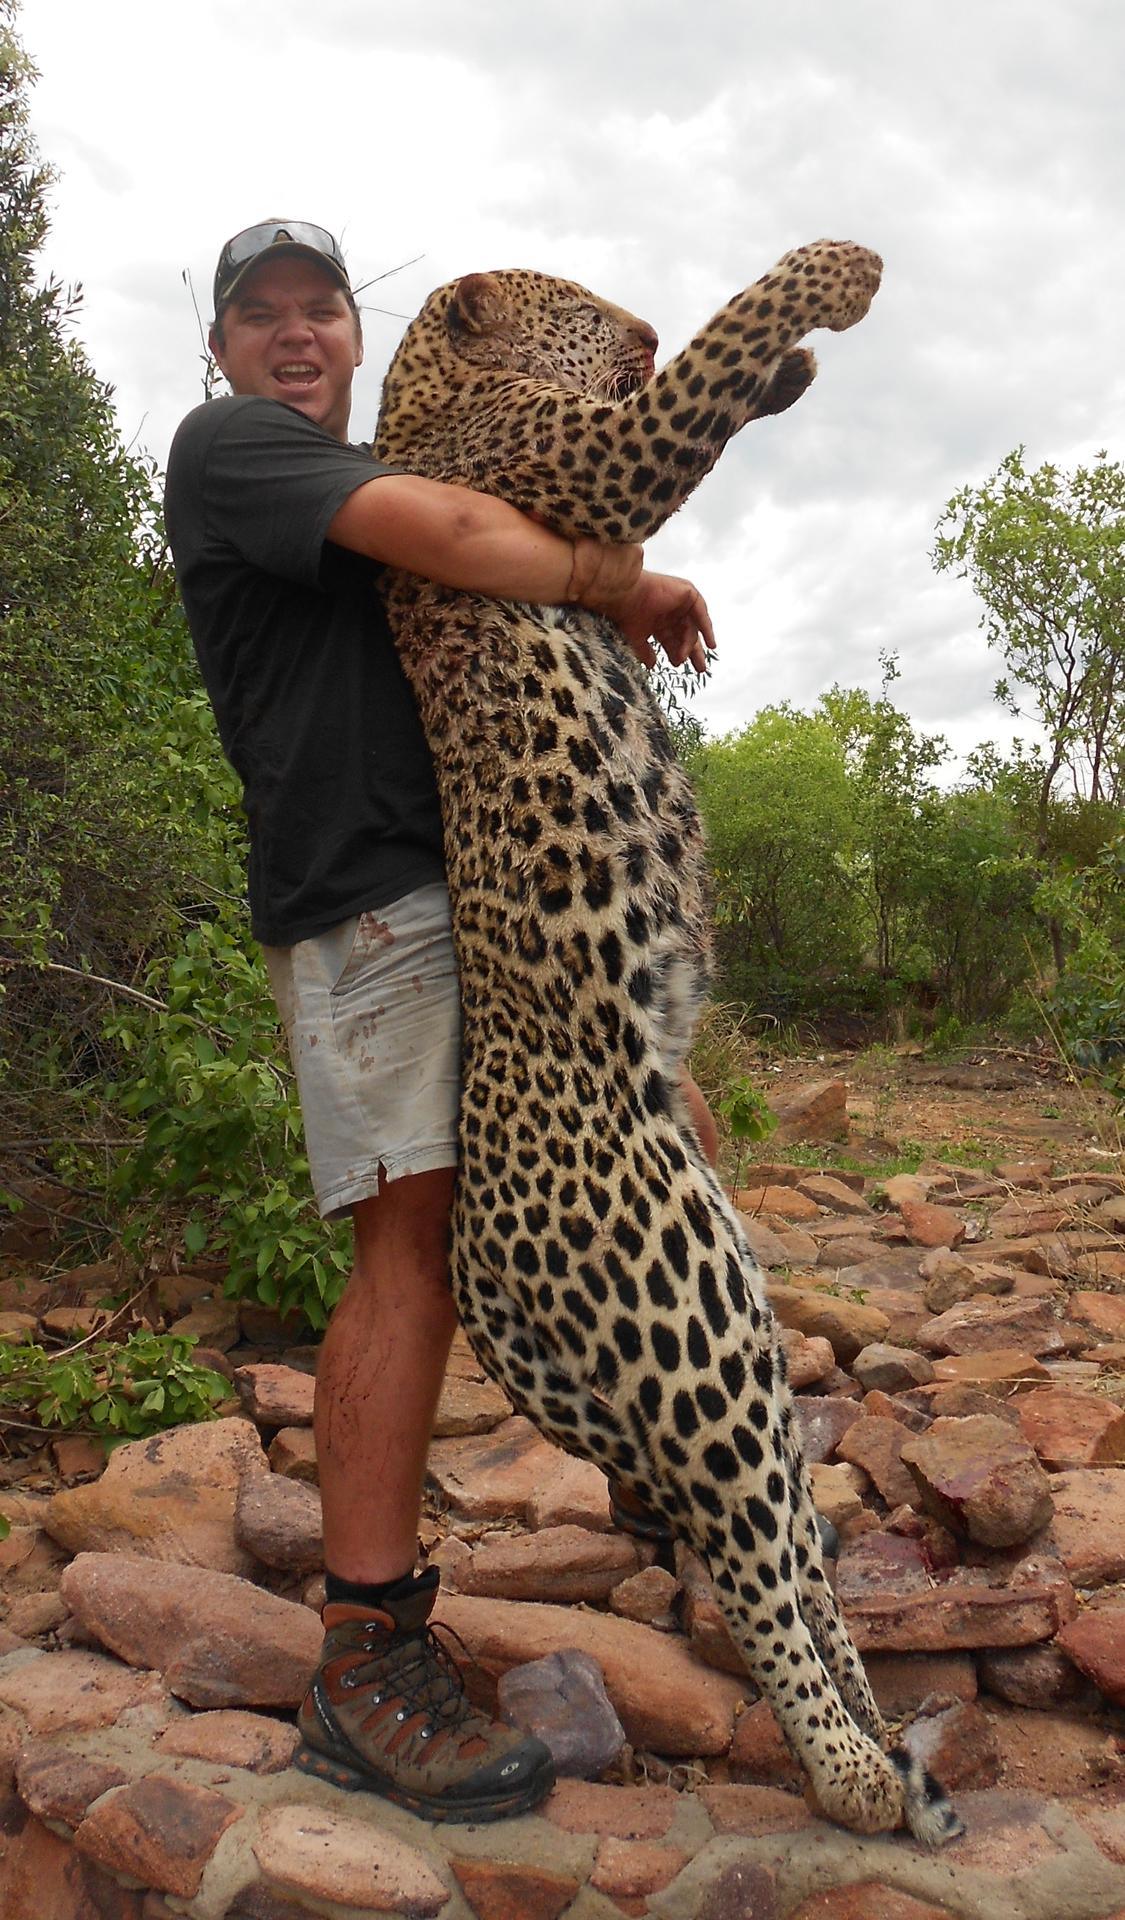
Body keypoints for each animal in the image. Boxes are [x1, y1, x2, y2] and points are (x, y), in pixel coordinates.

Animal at [373, 241, 961, 1845]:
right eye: (574, 299)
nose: (629, 320)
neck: (416, 403)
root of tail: (484, 1279)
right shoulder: (585, 461)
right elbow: (721, 344)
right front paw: (832, 278)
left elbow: (730, 370)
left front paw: (797, 363)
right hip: (691, 1337)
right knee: (755, 1569)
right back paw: (848, 1777)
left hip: (738, 1332)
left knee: (799, 1562)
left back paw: (884, 1743)